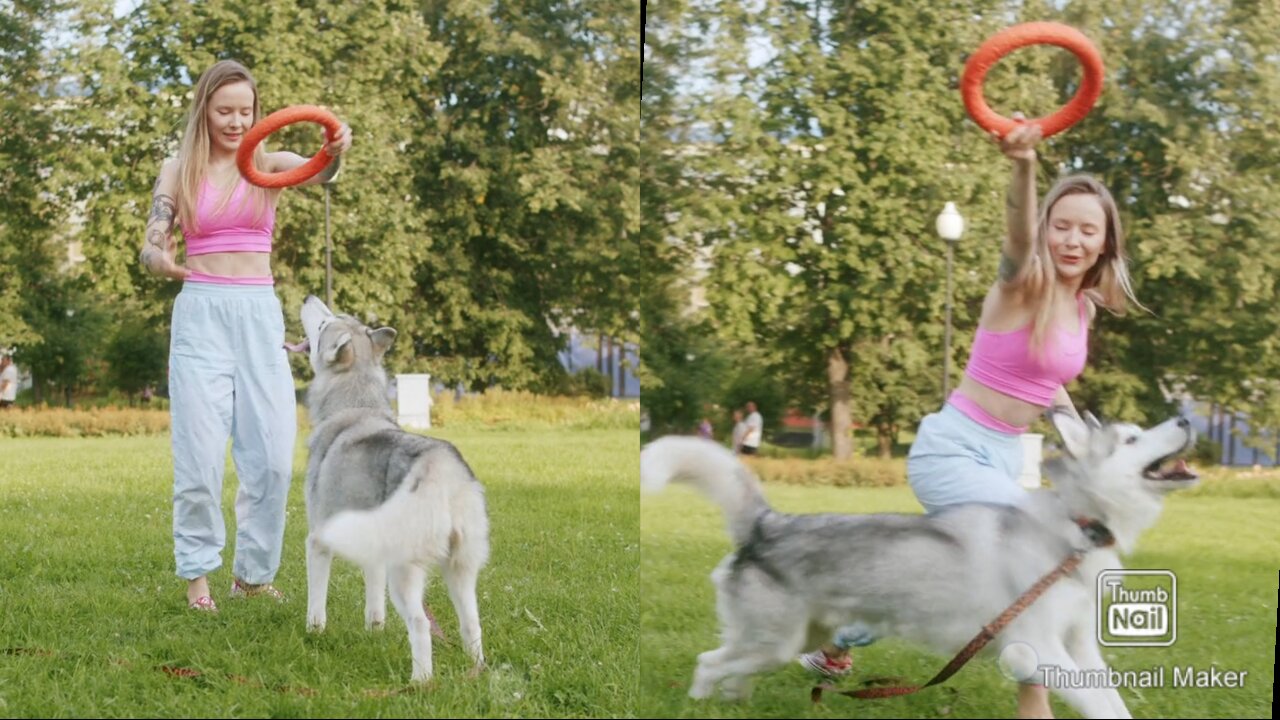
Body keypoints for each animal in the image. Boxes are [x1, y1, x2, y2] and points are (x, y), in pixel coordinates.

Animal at [294, 294, 488, 681]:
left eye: (323, 325)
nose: (308, 298)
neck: (356, 405)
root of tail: (441, 468)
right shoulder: (374, 544)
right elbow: (374, 603)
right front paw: (374, 632)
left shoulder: (319, 540)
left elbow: (316, 603)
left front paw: (314, 633)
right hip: (460, 569)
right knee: (472, 625)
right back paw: (477, 672)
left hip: (406, 572)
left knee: (420, 624)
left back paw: (420, 681)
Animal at [645, 407, 1192, 712]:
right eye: (1132, 439)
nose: (1187, 418)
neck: (1077, 527)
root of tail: (766, 523)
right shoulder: (1036, 649)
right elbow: (1098, 704)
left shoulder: (1079, 646)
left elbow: (1112, 704)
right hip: (773, 643)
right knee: (708, 664)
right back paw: (698, 704)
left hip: (791, 641)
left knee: (734, 670)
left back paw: (735, 703)